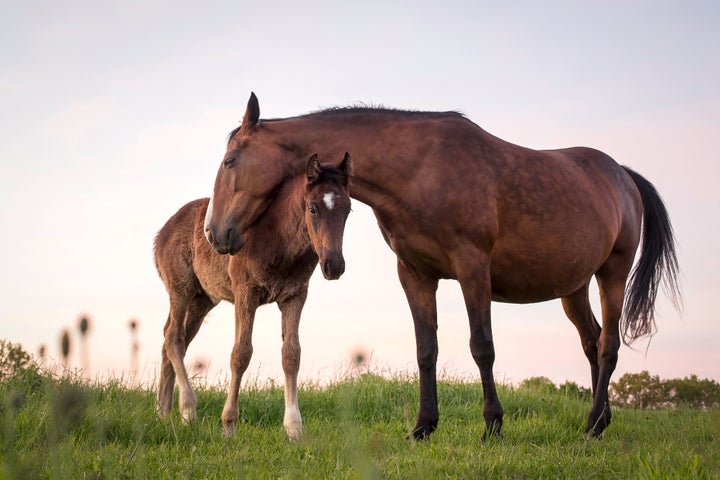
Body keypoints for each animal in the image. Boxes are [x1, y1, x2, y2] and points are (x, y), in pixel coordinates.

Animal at [155, 154, 352, 438]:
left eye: (348, 210)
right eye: (313, 208)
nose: (334, 266)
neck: (278, 239)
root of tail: (162, 233)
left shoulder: (295, 296)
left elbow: (291, 355)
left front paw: (294, 429)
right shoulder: (245, 293)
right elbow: (241, 354)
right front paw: (229, 425)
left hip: (202, 300)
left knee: (173, 340)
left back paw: (164, 413)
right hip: (180, 289)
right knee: (173, 337)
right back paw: (188, 409)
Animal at [204, 93, 680, 438]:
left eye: (230, 161)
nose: (214, 232)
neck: (420, 169)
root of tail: (622, 175)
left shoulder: (473, 271)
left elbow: (482, 347)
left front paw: (492, 426)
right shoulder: (415, 274)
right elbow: (425, 349)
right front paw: (423, 427)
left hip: (612, 274)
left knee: (608, 345)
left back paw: (592, 426)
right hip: (574, 287)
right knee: (592, 343)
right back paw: (602, 420)